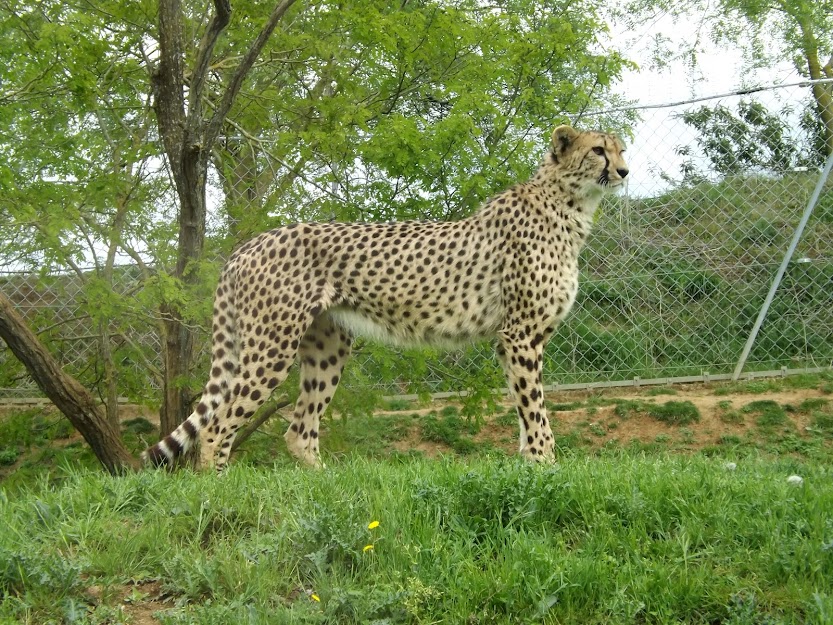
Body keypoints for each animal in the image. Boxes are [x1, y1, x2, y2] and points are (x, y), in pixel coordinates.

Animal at [145, 125, 624, 468]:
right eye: (599, 150)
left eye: (620, 149)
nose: (624, 172)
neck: (568, 205)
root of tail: (249, 243)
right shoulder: (521, 334)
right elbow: (536, 410)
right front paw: (547, 468)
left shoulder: (516, 340)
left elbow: (526, 410)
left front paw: (531, 464)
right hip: (271, 345)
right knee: (217, 427)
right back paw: (218, 490)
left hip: (328, 346)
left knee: (298, 431)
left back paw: (328, 489)